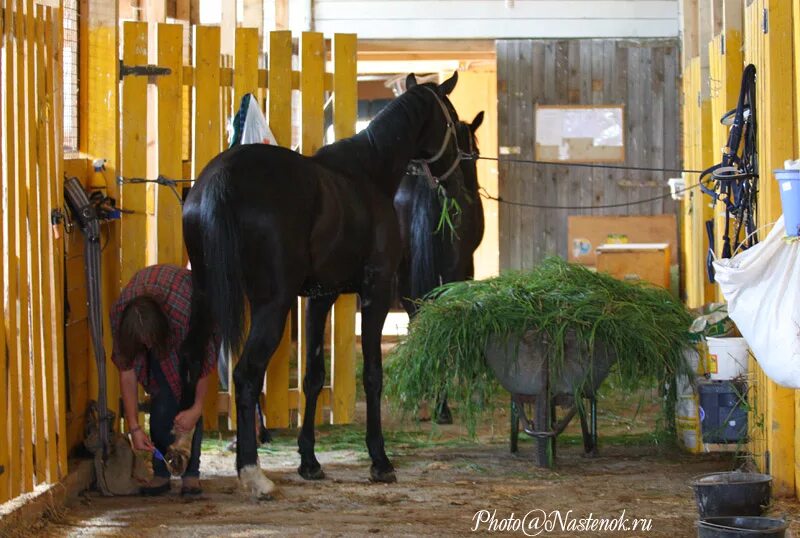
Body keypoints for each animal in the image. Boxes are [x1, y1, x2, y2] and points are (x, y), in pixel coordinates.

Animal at [177, 71, 460, 494]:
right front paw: (380, 460)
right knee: (246, 375)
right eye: (453, 121)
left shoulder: (319, 297)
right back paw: (252, 472)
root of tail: (221, 178)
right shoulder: (375, 293)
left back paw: (186, 464)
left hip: (207, 294)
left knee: (193, 364)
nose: (457, 173)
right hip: (271, 305)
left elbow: (312, 377)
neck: (366, 175)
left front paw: (309, 461)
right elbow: (373, 375)